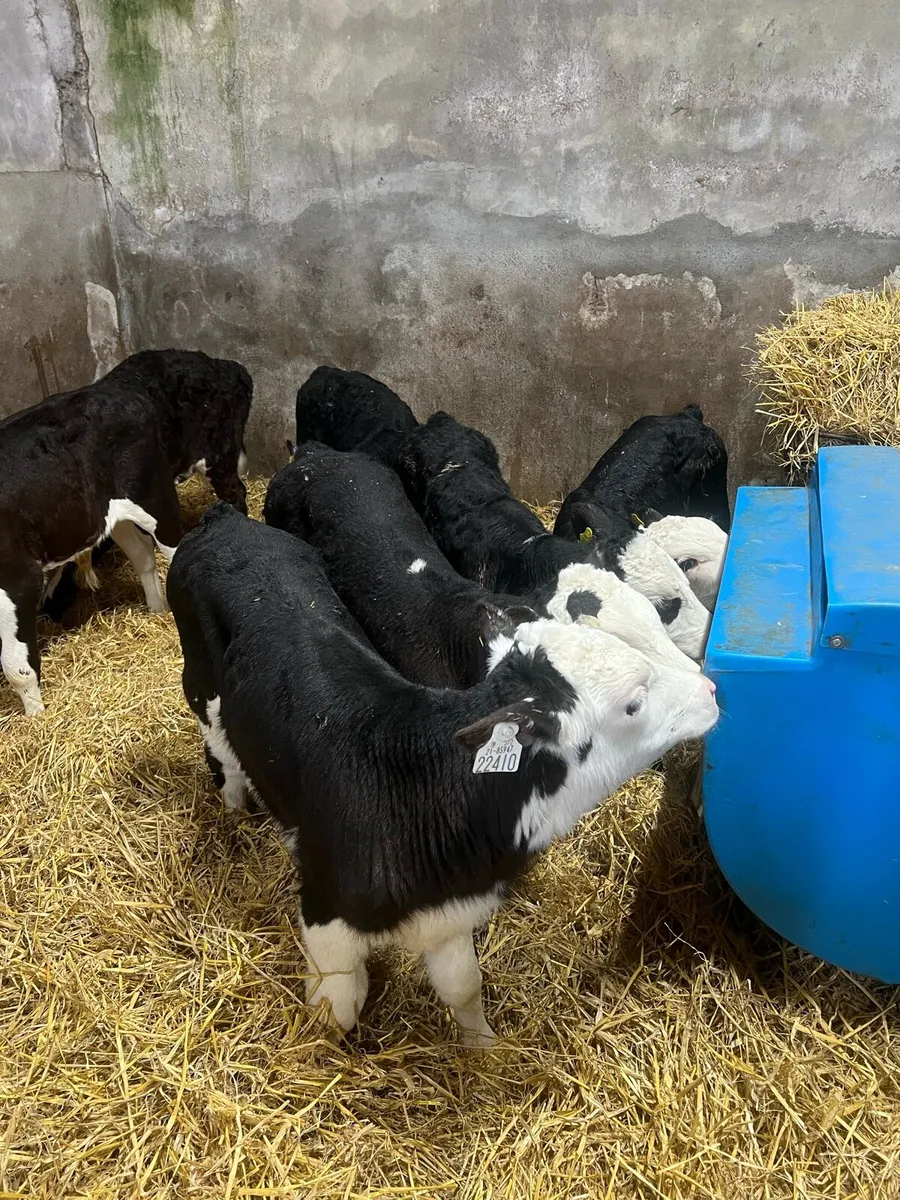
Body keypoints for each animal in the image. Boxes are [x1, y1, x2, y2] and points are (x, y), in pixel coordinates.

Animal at [0, 349, 252, 715]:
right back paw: (157, 609)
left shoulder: (17, 578)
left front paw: (36, 718)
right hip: (117, 514)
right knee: (143, 554)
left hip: (160, 494)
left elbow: (17, 667)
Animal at [167, 503, 719, 1048]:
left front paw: (485, 1052)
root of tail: (222, 520)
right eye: (634, 701)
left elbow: (463, 987)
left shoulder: (449, 915)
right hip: (201, 690)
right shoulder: (327, 917)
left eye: (655, 614)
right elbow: (335, 1011)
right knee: (225, 760)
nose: (709, 687)